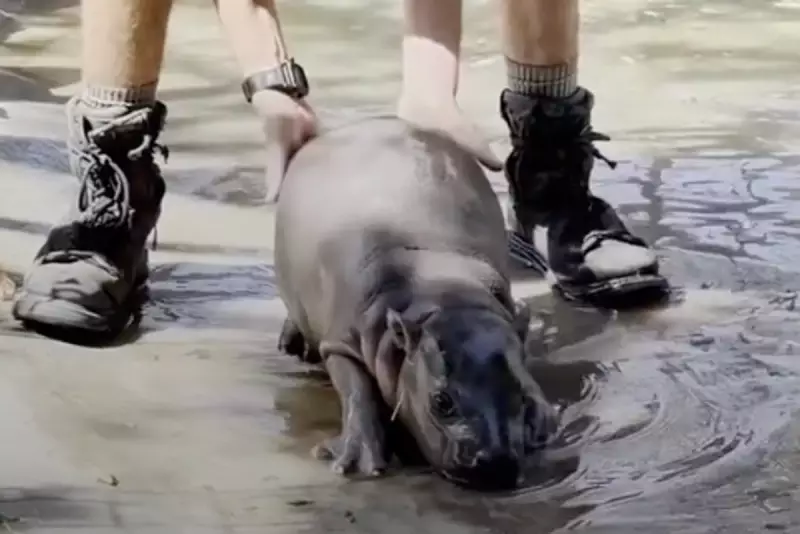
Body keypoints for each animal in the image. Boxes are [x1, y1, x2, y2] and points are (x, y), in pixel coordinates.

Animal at [273, 116, 557, 490]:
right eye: (442, 401)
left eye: (520, 392)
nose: (495, 462)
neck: (442, 293)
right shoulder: (340, 343)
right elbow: (358, 392)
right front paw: (357, 463)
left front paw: (544, 423)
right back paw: (291, 345)